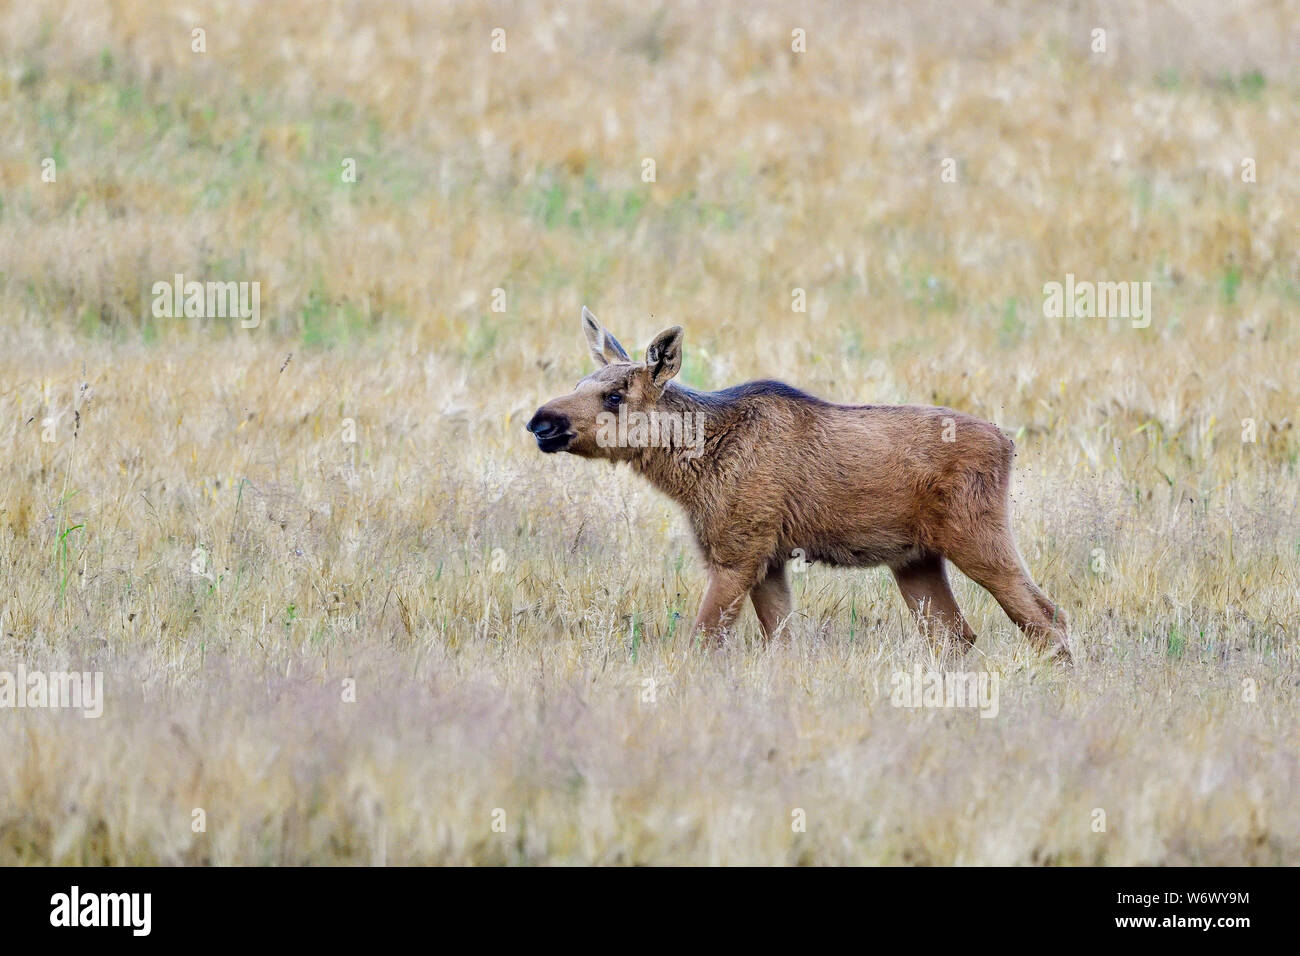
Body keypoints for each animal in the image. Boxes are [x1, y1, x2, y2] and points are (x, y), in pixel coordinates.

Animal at [522, 310, 1071, 660]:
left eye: (615, 396)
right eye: (578, 384)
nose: (540, 422)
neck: (691, 472)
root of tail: (1009, 443)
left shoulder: (737, 553)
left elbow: (703, 641)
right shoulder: (768, 561)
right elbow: (782, 644)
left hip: (978, 537)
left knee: (1048, 619)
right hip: (916, 560)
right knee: (958, 635)